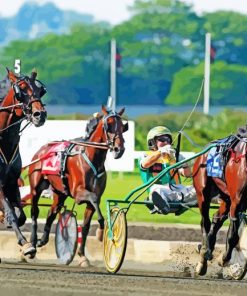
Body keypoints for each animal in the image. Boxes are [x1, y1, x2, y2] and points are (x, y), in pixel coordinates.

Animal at [22, 106, 127, 266]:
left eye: (123, 126)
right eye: (108, 124)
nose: (119, 149)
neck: (91, 157)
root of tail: (42, 149)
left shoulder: (90, 200)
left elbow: (86, 226)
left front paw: (82, 256)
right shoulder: (78, 192)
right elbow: (93, 198)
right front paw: (101, 231)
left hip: (60, 192)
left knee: (52, 212)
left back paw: (42, 240)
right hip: (36, 188)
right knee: (34, 212)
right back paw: (32, 245)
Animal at [193, 132, 247, 276]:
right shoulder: (237, 202)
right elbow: (233, 236)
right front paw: (224, 259)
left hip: (225, 197)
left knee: (217, 219)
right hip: (203, 194)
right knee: (205, 222)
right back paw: (204, 253)